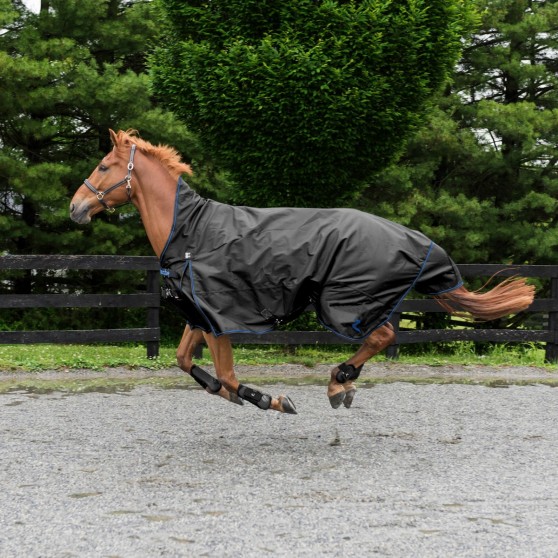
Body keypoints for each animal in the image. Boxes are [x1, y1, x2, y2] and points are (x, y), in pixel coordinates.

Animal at [71, 131, 540, 416]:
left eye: (103, 166)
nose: (75, 208)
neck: (190, 233)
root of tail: (415, 239)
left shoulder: (219, 318)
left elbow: (228, 375)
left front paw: (270, 399)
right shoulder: (200, 313)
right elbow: (187, 361)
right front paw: (234, 396)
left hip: (342, 304)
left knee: (383, 336)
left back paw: (338, 384)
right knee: (385, 335)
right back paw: (342, 385)